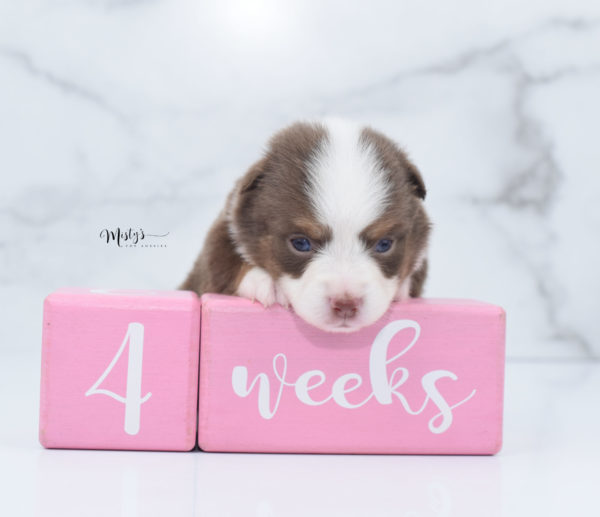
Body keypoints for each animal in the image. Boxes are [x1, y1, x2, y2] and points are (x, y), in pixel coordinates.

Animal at [180, 118, 428, 330]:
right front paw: (266, 282)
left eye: (384, 244)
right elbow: (227, 263)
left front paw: (403, 288)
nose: (345, 305)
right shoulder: (219, 243)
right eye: (301, 243)